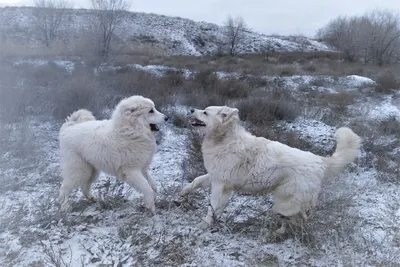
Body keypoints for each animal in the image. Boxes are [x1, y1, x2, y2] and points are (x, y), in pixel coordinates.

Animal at [180, 105, 360, 231]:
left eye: (205, 112)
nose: (191, 109)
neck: (225, 139)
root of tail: (320, 161)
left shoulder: (219, 185)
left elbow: (211, 207)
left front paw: (204, 225)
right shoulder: (217, 179)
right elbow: (196, 182)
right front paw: (183, 193)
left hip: (284, 202)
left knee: (296, 218)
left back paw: (279, 232)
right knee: (301, 216)